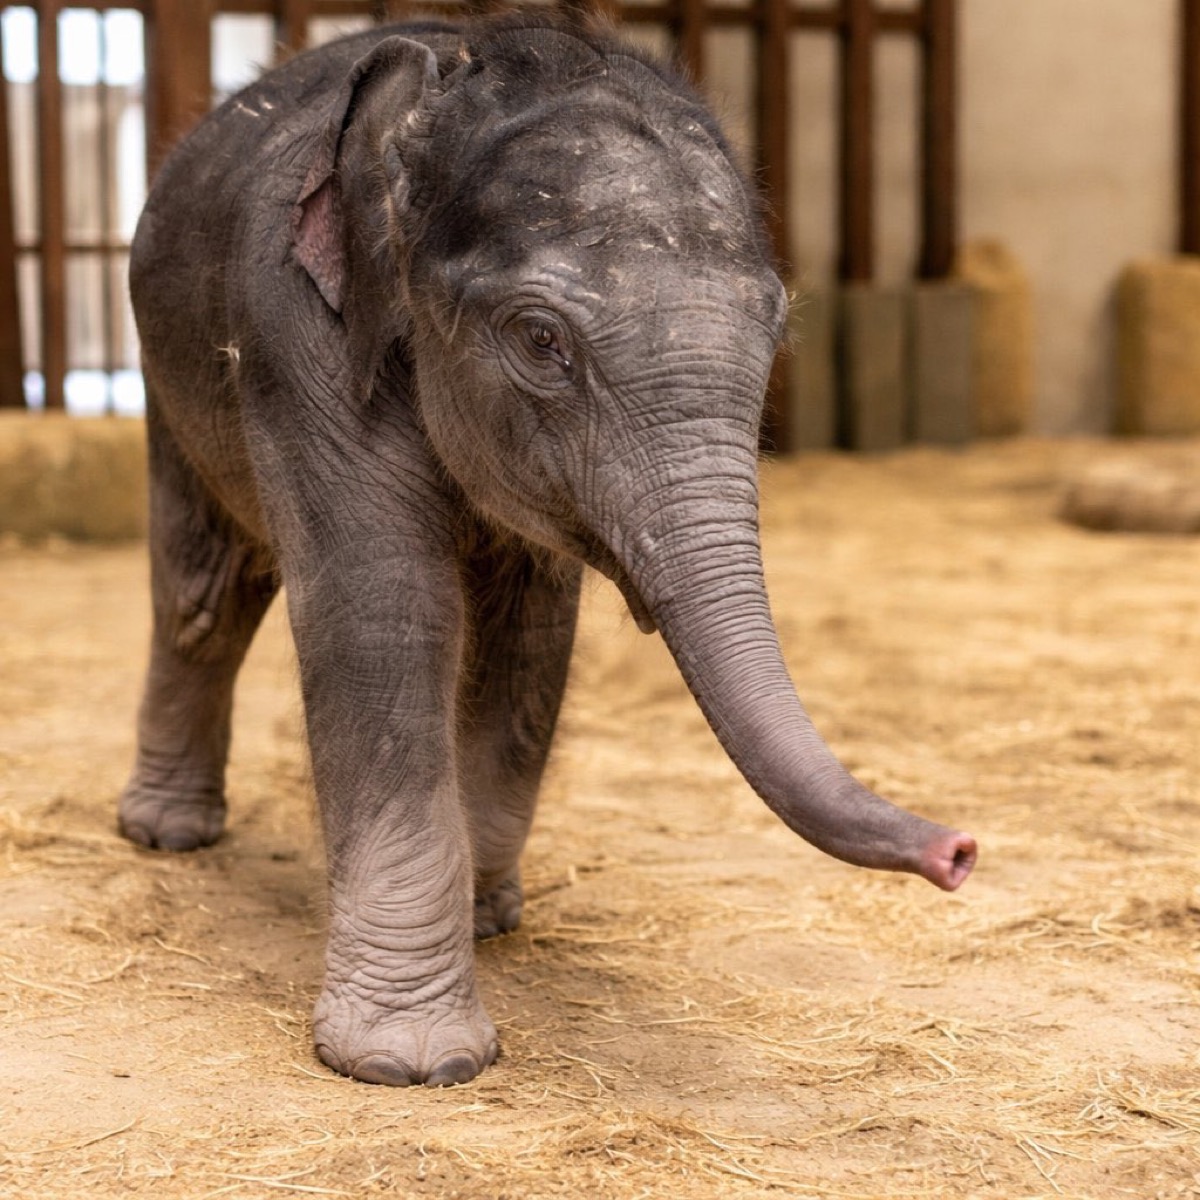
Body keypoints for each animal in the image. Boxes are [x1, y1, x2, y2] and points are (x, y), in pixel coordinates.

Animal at [121, 10, 976, 1087]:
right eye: (539, 340)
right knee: (206, 591)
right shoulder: (297, 338)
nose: (961, 853)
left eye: (777, 330)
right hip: (166, 373)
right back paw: (165, 835)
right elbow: (384, 610)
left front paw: (487, 916)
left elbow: (528, 634)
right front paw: (410, 1062)